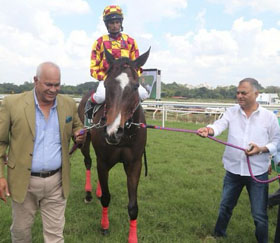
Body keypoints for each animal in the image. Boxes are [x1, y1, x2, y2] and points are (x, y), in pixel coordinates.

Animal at [76, 46, 151, 242]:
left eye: (135, 86)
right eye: (107, 85)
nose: (112, 131)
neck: (123, 137)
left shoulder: (134, 164)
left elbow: (133, 206)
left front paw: (132, 238)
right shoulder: (103, 161)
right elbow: (106, 198)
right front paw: (104, 226)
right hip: (83, 141)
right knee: (88, 162)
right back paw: (89, 193)